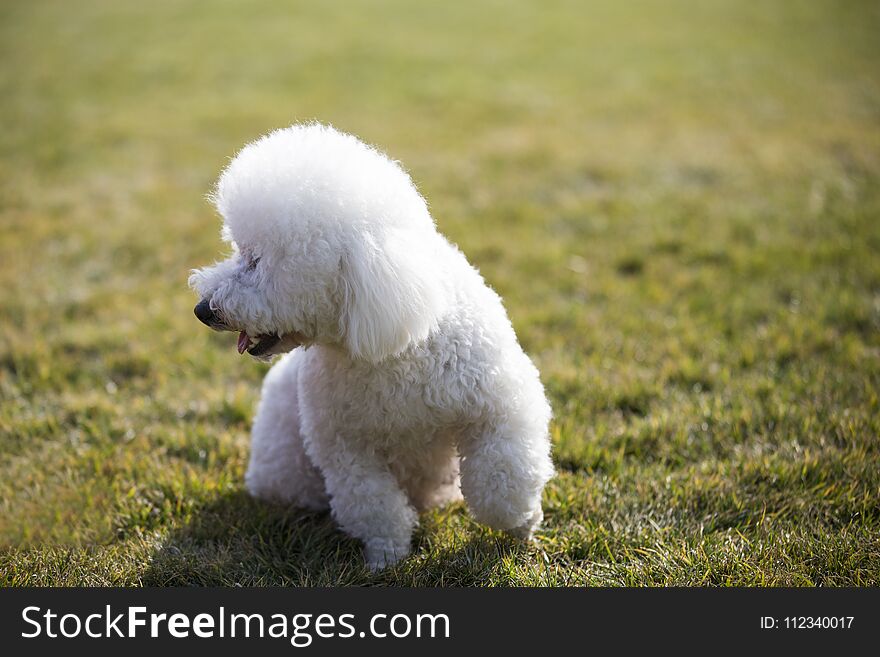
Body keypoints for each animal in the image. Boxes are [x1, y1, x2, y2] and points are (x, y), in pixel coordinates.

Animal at [190, 124, 552, 568]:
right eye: (239, 249)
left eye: (256, 260)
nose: (203, 310)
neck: (394, 344)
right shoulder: (347, 448)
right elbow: (373, 504)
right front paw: (386, 558)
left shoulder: (499, 405)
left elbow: (504, 481)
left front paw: (522, 525)